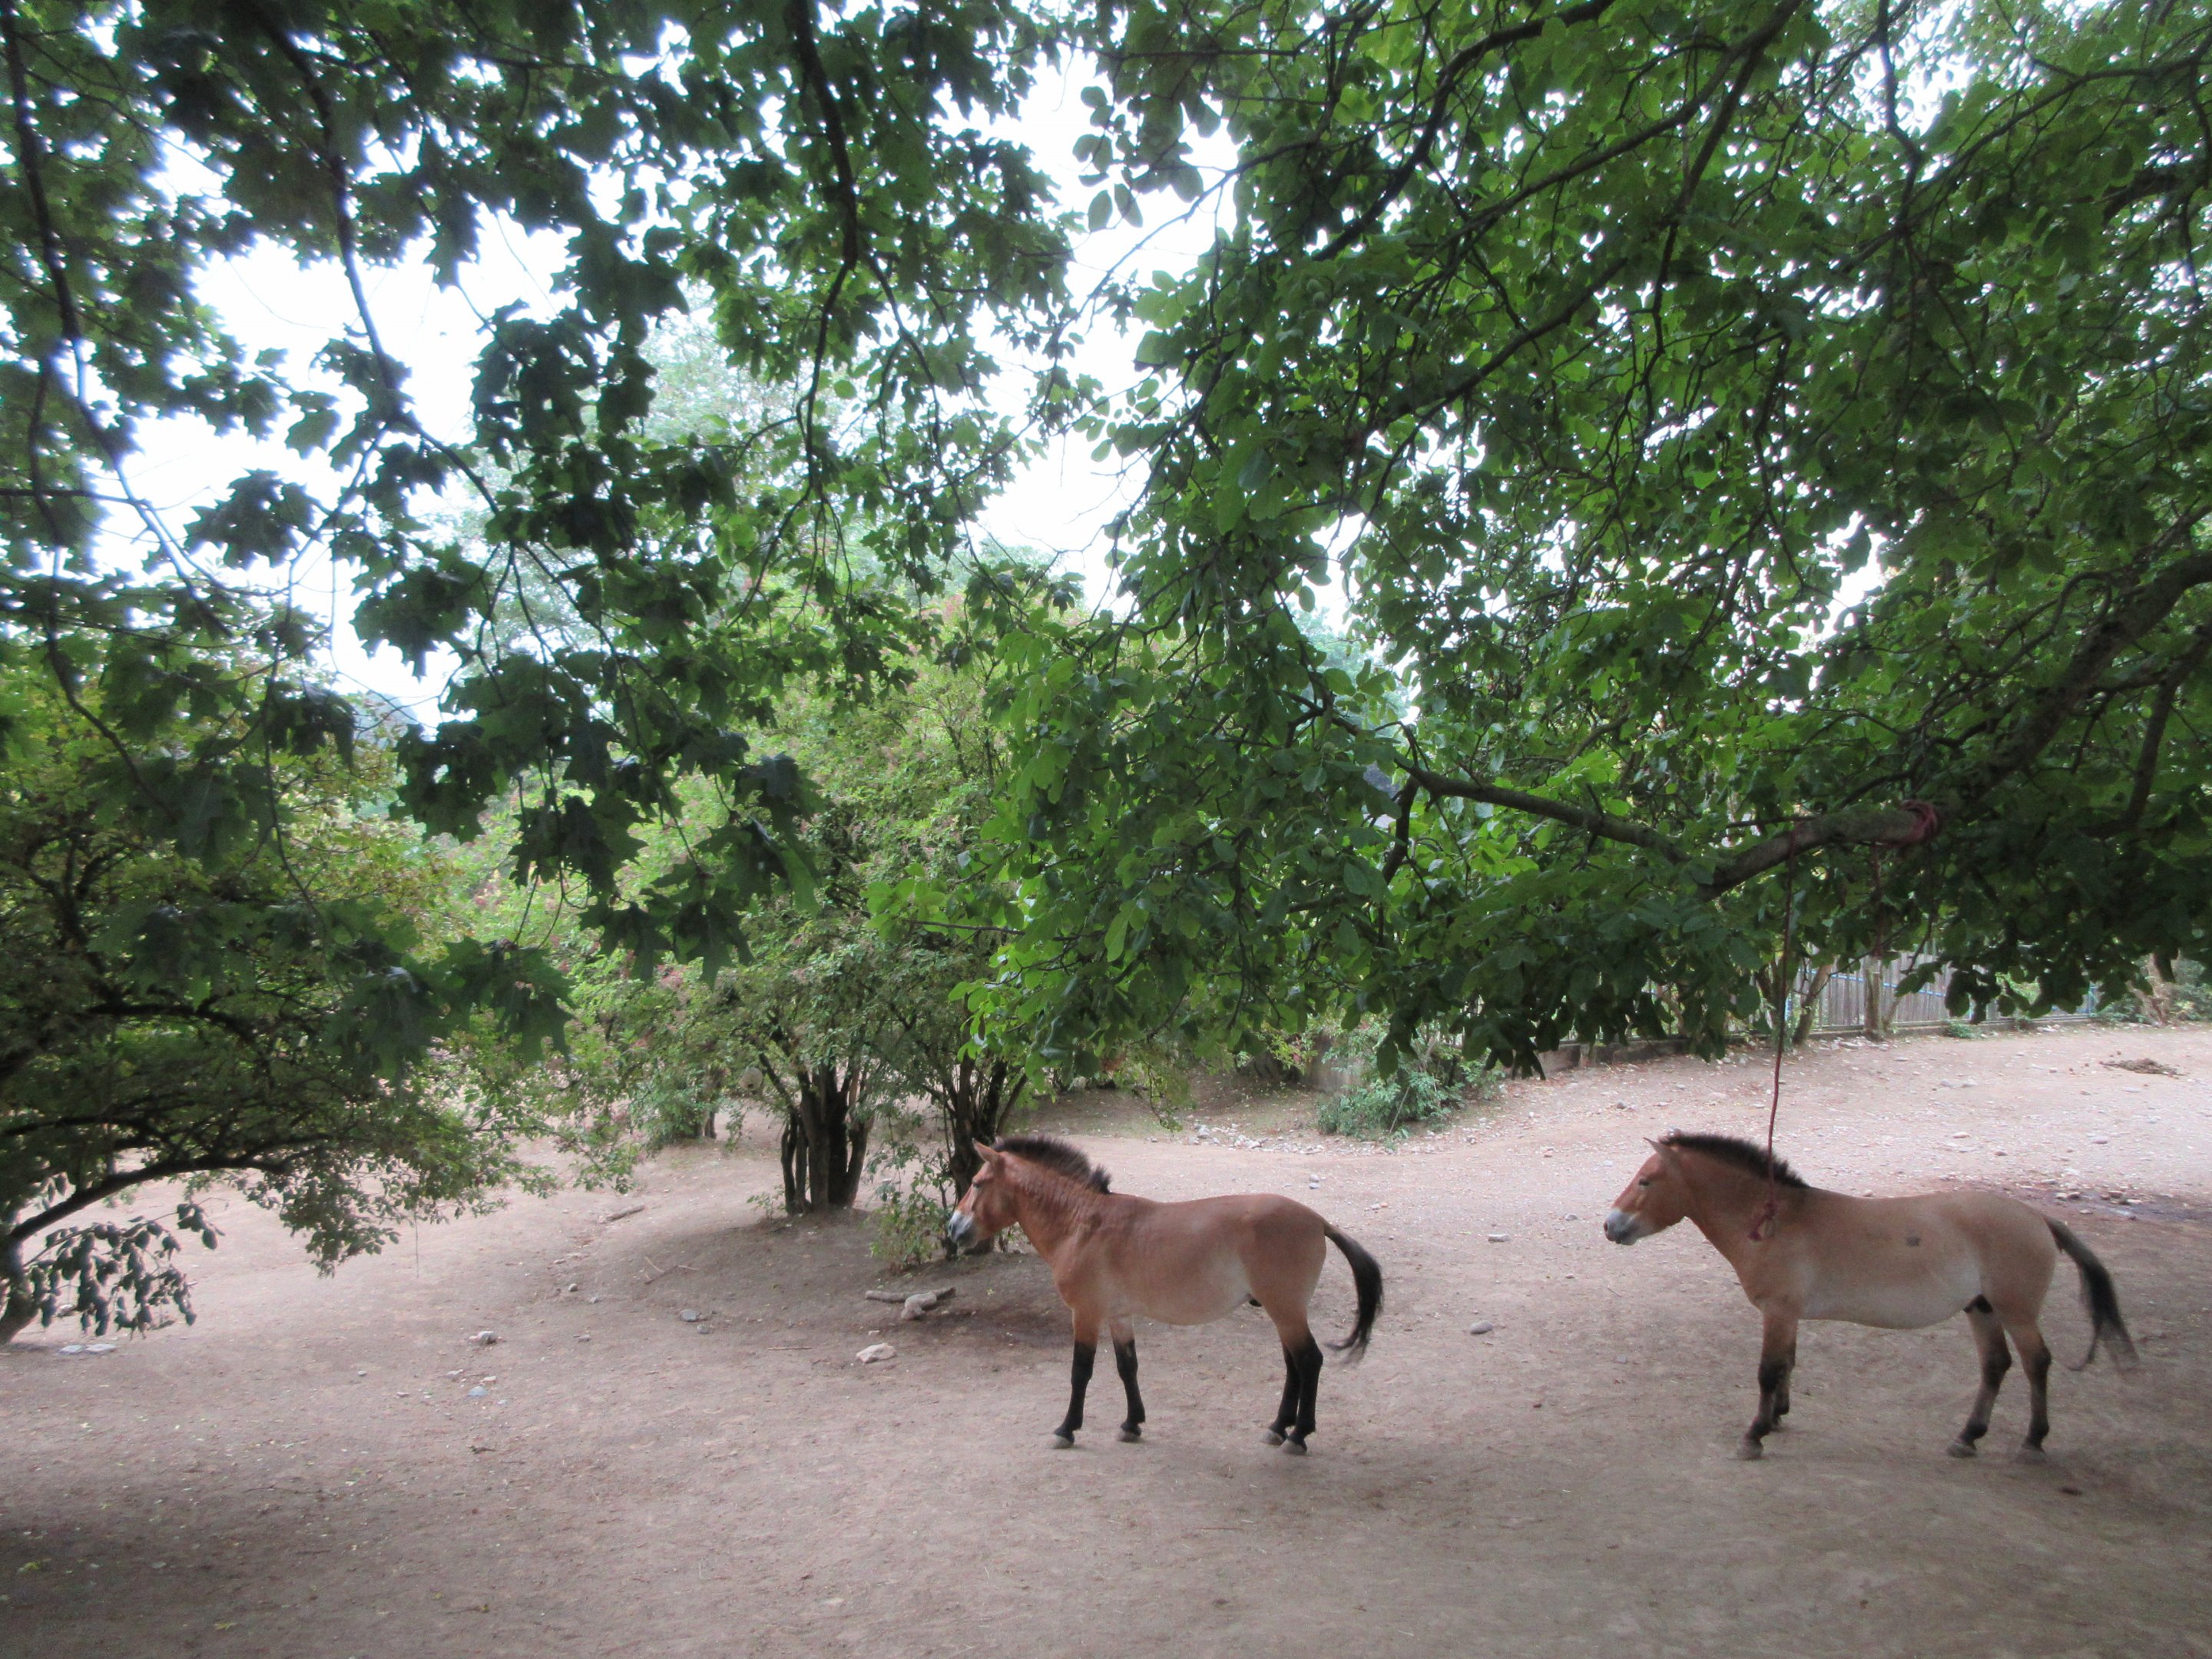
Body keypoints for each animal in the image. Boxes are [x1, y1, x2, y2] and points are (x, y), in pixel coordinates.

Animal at [944, 1134, 1383, 1452]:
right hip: (1282, 1312)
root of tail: (1317, 1220)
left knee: (1309, 1362)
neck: (1081, 1224)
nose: (953, 1228)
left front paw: (1067, 1429)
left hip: (1286, 1310)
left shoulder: (1085, 1314)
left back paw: (1299, 1435)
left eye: (978, 1184)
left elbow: (1080, 1372)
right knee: (1294, 1365)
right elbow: (1128, 1367)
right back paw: (1278, 1428)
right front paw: (1132, 1423)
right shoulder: (1118, 1315)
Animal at [1603, 1131, 2135, 1461]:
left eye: (1645, 1181)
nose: (1610, 1226)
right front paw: (1777, 1419)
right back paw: (1967, 1438)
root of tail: (2038, 1218)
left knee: (2035, 1364)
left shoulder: (1779, 1312)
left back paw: (2032, 1441)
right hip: (1981, 1308)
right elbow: (1788, 1365)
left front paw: (1754, 1436)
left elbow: (1769, 1371)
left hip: (2015, 1311)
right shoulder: (1789, 1316)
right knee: (1995, 1366)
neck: (1777, 1223)